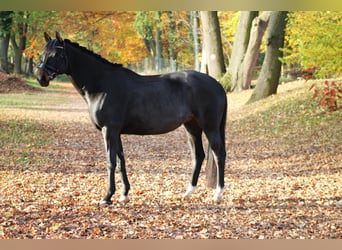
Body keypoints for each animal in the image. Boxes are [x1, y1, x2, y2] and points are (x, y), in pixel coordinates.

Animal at [36, 31, 227, 205]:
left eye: (56, 54)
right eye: (43, 52)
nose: (41, 77)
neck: (101, 85)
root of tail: (217, 84)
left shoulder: (109, 130)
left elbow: (111, 162)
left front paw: (107, 197)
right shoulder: (117, 132)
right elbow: (121, 161)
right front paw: (124, 194)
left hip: (209, 127)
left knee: (219, 154)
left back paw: (218, 194)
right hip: (192, 127)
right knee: (199, 156)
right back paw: (188, 192)